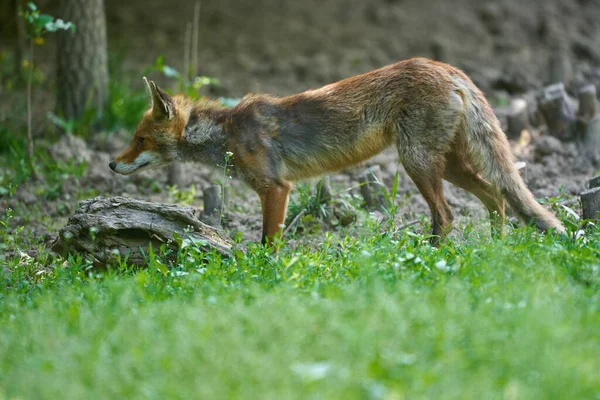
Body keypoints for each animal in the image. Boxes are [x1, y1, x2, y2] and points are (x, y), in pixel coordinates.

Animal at [110, 57, 564, 245]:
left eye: (140, 140)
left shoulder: (276, 188)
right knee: (496, 196)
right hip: (446, 163)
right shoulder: (278, 190)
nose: (112, 164)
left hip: (416, 162)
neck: (227, 135)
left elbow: (268, 243)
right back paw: (495, 251)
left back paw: (432, 258)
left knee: (448, 214)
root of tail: (447, 67)